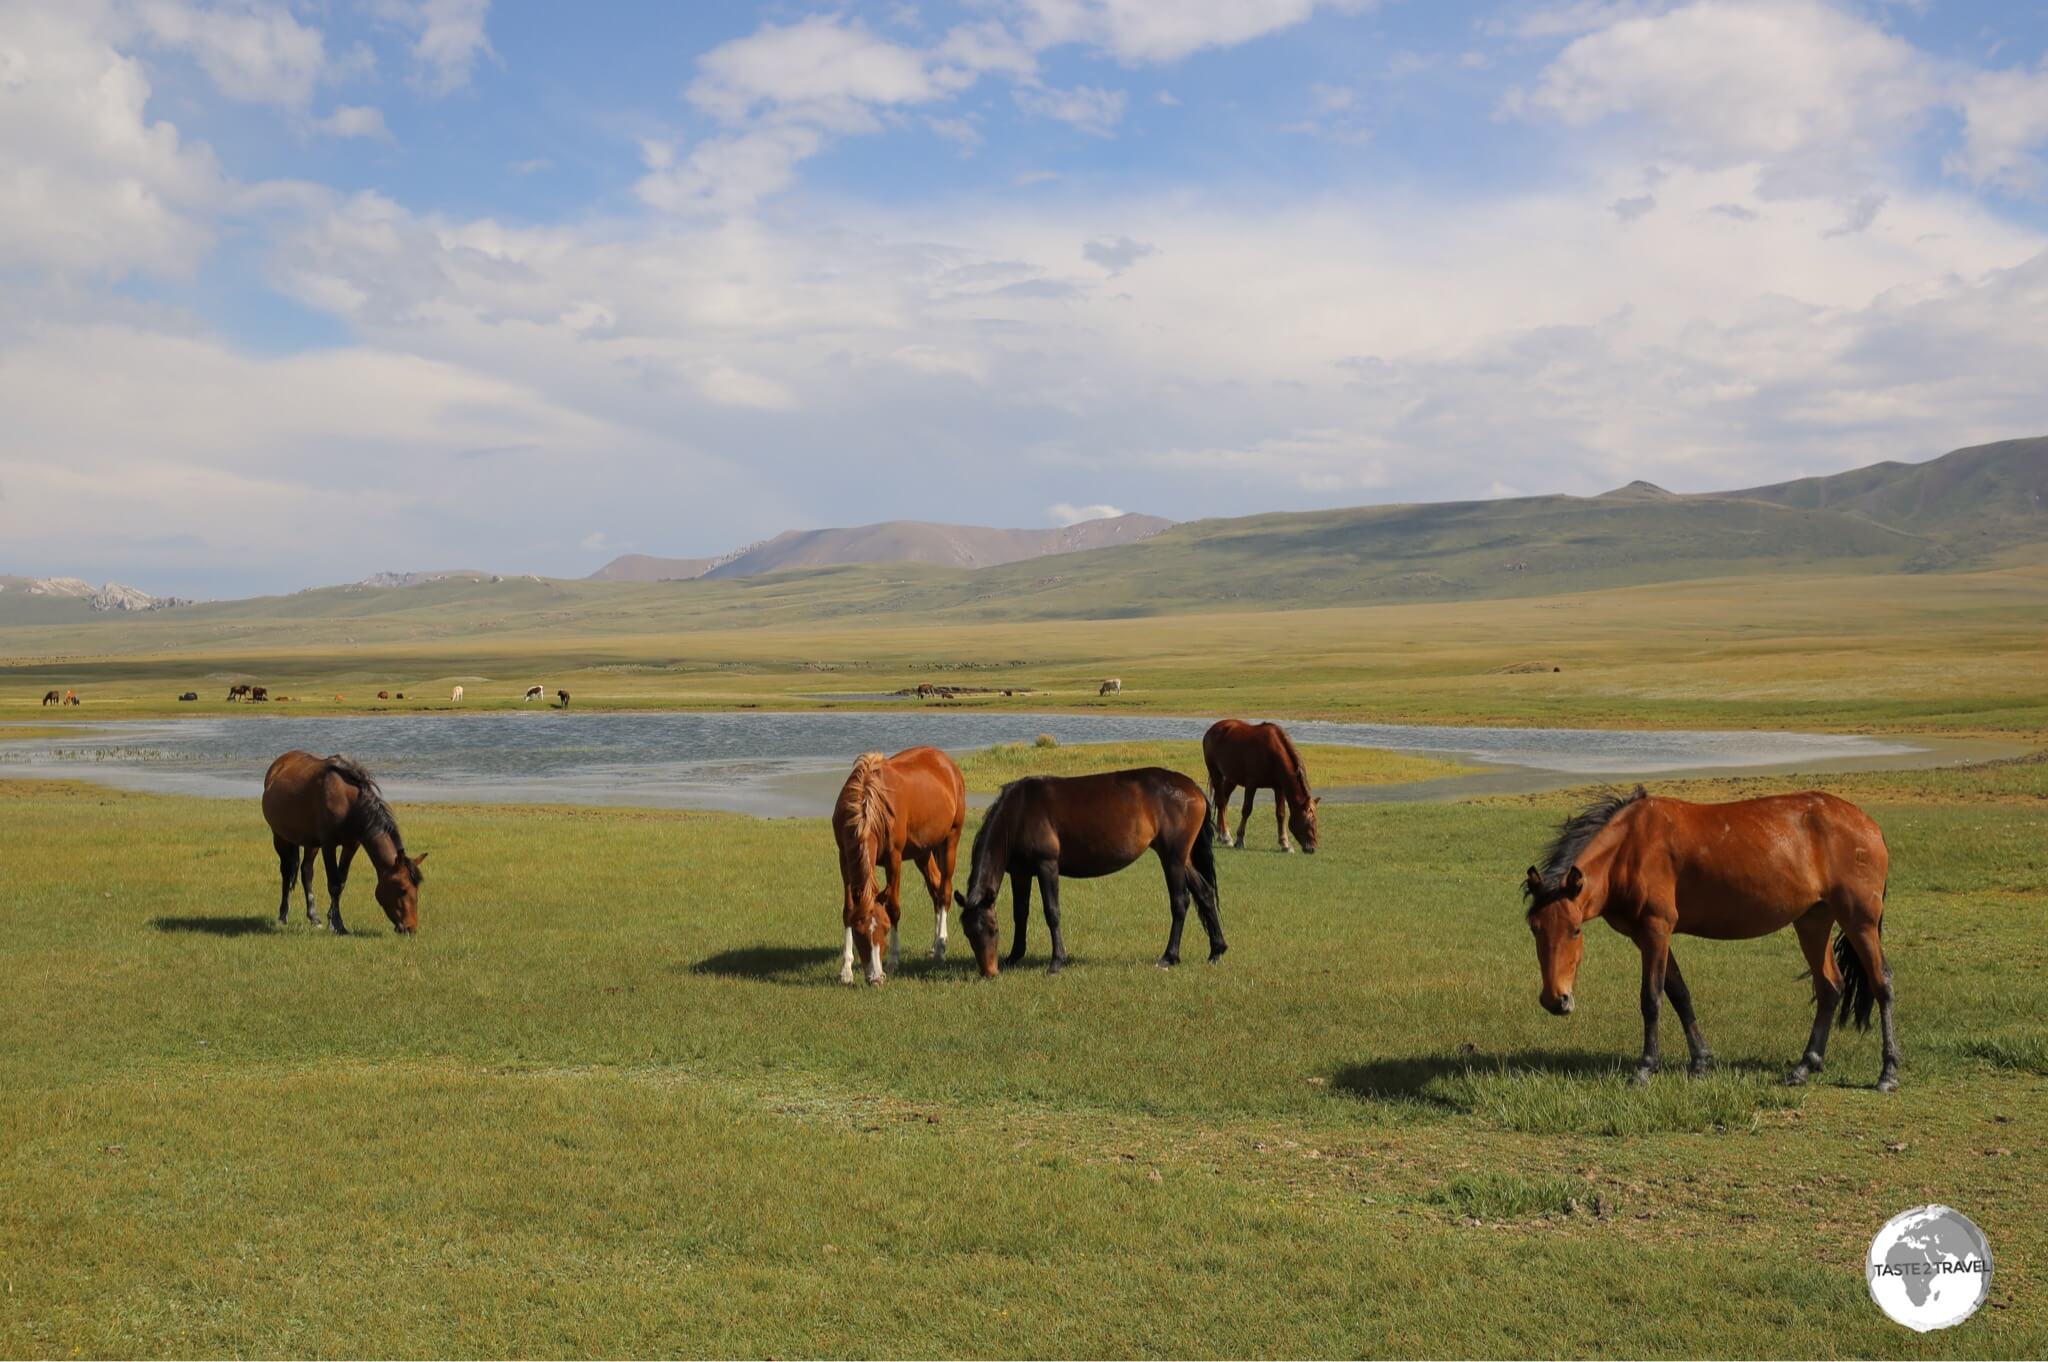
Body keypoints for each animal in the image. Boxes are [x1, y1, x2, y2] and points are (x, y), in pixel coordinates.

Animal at [262, 749, 425, 929]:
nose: (410, 927)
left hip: (311, 843)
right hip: (280, 837)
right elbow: (333, 884)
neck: (348, 802)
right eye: (402, 889)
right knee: (286, 871)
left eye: (417, 889)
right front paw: (337, 924)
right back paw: (283, 915)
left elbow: (341, 883)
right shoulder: (328, 845)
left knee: (307, 872)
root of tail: (279, 764)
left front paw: (332, 919)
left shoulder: (351, 845)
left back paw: (314, 917)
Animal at [827, 749, 962, 983]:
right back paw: (934, 946)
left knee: (944, 892)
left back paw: (941, 948)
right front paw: (846, 969)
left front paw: (892, 961)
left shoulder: (894, 858)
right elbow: (848, 910)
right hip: (923, 852)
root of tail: (947, 763)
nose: (875, 978)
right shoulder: (844, 857)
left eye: (886, 928)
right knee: (935, 889)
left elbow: (894, 907)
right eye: (859, 933)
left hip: (951, 840)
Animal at [954, 765, 1220, 979]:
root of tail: (1193, 788)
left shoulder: (1047, 865)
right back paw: (1217, 950)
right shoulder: (1020, 872)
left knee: (1180, 902)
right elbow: (1021, 913)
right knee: (1205, 894)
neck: (1019, 811)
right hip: (1184, 859)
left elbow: (1052, 912)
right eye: (967, 933)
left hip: (1173, 858)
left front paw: (1056, 962)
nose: (989, 972)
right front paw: (1014, 956)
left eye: (993, 929)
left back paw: (1169, 956)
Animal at [1196, 720, 1327, 852]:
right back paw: (1225, 837)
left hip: (1232, 778)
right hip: (1215, 772)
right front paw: (1240, 840)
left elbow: (1281, 814)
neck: (1272, 754)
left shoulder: (1279, 788)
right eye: (1308, 820)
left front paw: (1285, 843)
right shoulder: (1251, 785)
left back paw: (1222, 833)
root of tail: (1212, 730)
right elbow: (1246, 810)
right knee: (1221, 802)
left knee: (1225, 800)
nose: (1312, 848)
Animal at [1523, 786, 1900, 1081]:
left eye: (1575, 930)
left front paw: (1646, 1066)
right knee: (1829, 987)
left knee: (1881, 984)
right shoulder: (1648, 936)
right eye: (1534, 929)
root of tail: (1869, 826)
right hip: (1813, 921)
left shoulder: (1656, 929)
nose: (1555, 1000)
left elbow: (1652, 998)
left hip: (1859, 921)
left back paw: (1888, 1071)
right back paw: (1805, 1066)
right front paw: (1701, 1061)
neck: (1630, 847)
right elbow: (1679, 994)